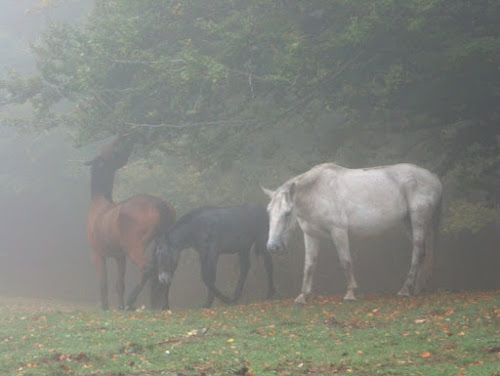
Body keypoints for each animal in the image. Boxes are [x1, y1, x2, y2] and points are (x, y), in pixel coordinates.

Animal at [84, 137, 174, 310]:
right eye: (113, 154)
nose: (128, 143)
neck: (97, 204)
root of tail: (160, 205)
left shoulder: (96, 252)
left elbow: (104, 283)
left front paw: (106, 308)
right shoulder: (120, 255)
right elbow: (120, 283)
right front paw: (118, 307)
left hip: (136, 245)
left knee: (147, 268)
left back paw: (132, 302)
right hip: (165, 241)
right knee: (167, 270)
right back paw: (162, 305)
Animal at [262, 163, 442, 304]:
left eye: (287, 213)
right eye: (268, 212)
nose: (272, 247)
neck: (318, 193)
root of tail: (434, 178)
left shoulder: (339, 232)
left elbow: (346, 261)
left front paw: (350, 293)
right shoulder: (311, 235)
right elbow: (309, 265)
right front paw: (302, 296)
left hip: (418, 220)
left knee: (417, 252)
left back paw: (404, 290)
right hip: (409, 223)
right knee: (424, 252)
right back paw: (417, 289)